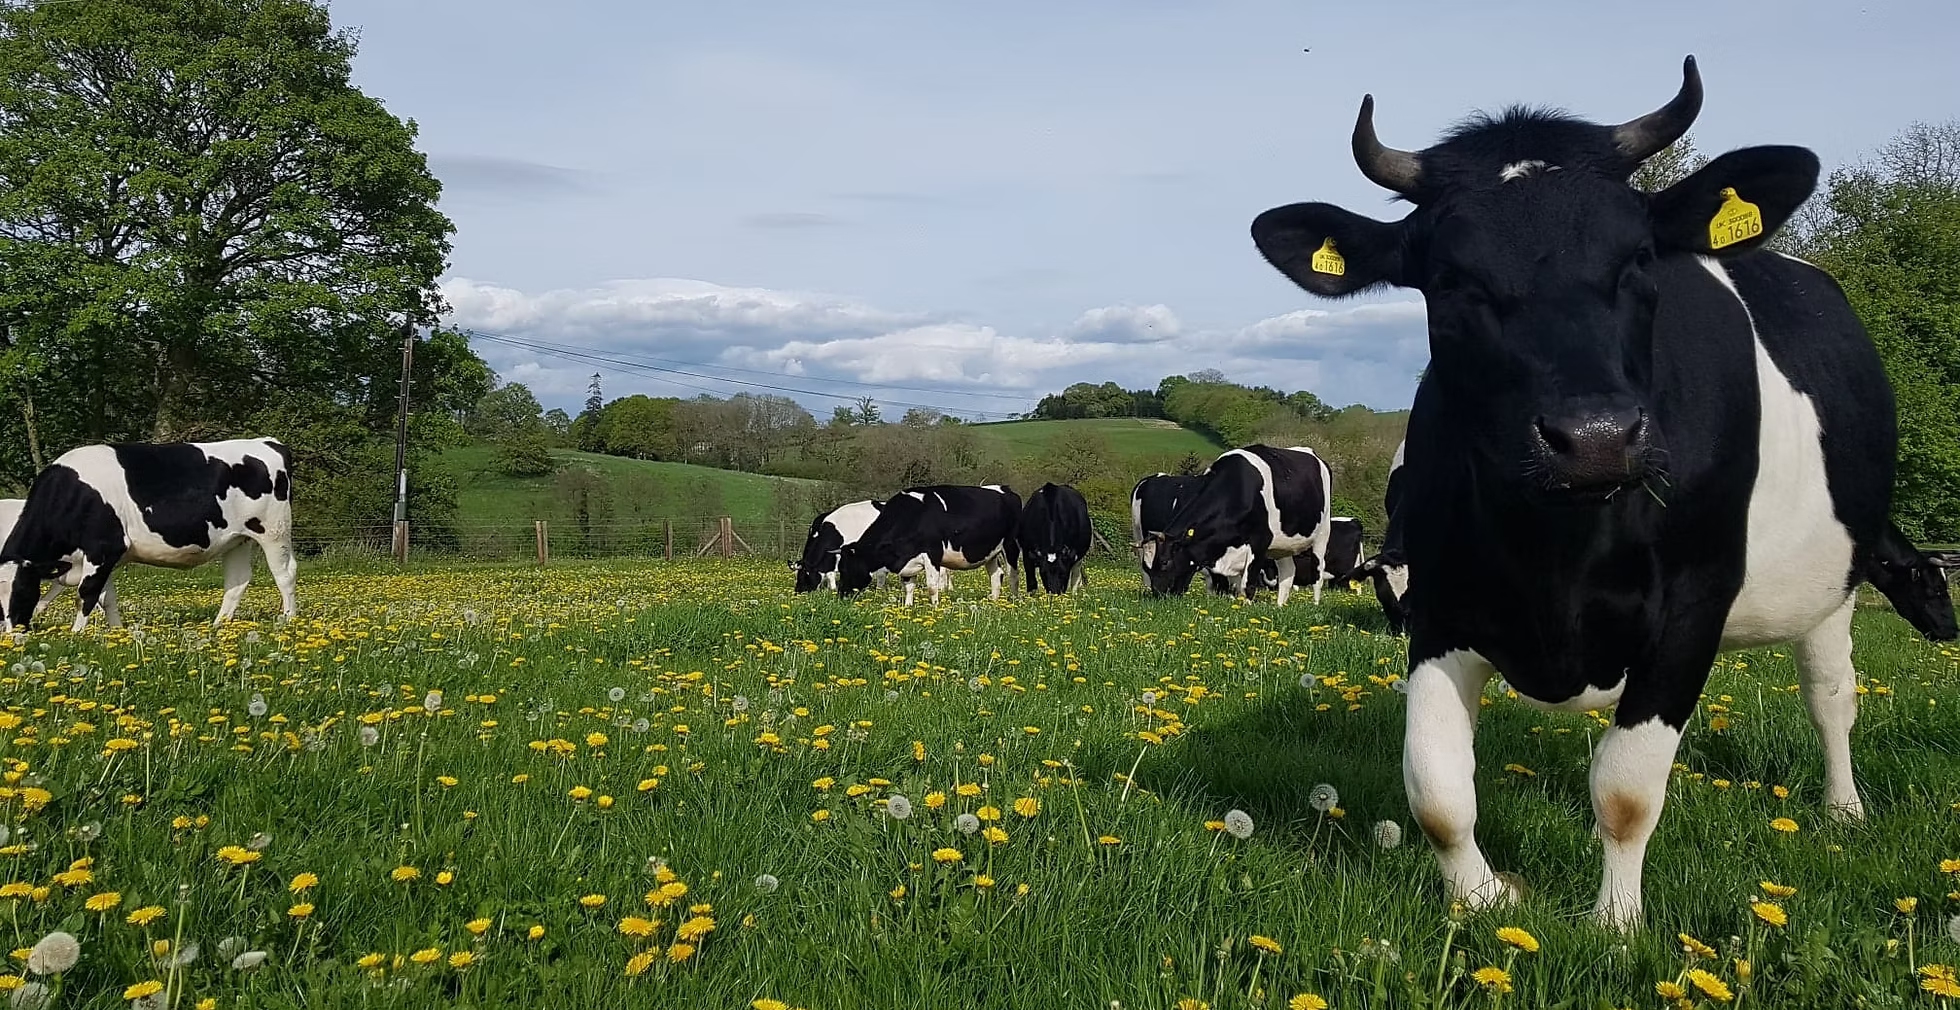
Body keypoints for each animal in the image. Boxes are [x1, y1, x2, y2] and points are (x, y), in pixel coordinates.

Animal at [837, 484, 1021, 605]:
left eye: (846, 569)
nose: (841, 595)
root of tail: (1006, 489)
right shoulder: (907, 558)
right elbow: (908, 586)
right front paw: (908, 607)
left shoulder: (933, 553)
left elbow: (932, 586)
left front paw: (935, 608)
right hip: (991, 552)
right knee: (996, 575)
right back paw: (994, 602)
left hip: (1010, 546)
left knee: (1013, 575)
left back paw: (1013, 602)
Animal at [1144, 445, 1332, 606]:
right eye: (1149, 564)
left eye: (1165, 562)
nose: (1157, 593)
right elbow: (1230, 585)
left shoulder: (1259, 542)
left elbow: (1246, 585)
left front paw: (1245, 608)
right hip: (1283, 546)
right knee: (1288, 572)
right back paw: (1279, 606)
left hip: (1322, 535)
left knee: (1317, 572)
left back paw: (1315, 603)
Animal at [1248, 56, 1958, 929]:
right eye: (1449, 280)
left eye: (1640, 260)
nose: (1593, 439)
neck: (1558, 553)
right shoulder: (1439, 603)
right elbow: (1438, 789)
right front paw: (1483, 899)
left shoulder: (1691, 609)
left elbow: (1626, 789)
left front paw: (1616, 925)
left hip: (1835, 582)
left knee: (1830, 696)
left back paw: (1844, 809)